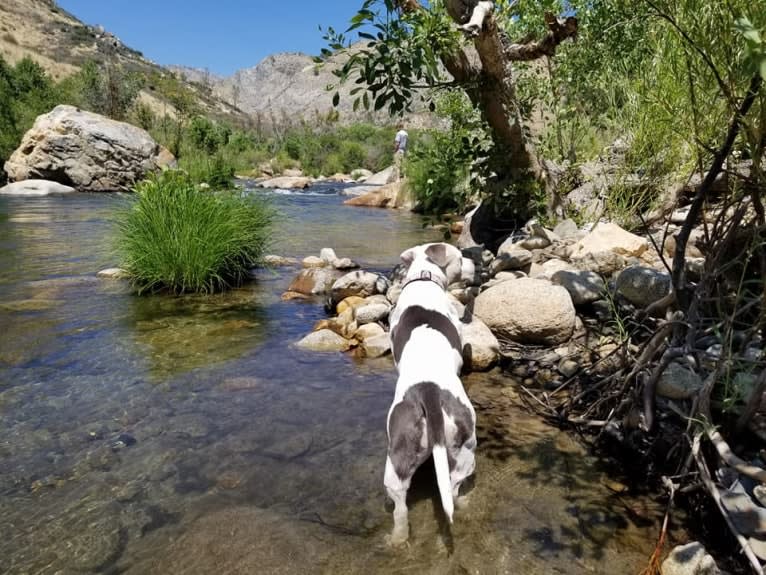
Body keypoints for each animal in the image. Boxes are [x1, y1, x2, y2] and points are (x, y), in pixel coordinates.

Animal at [388, 242, 476, 544]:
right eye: (461, 257)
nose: (476, 263)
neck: (424, 277)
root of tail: (429, 391)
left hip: (399, 454)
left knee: (400, 505)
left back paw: (398, 539)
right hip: (466, 450)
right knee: (455, 491)